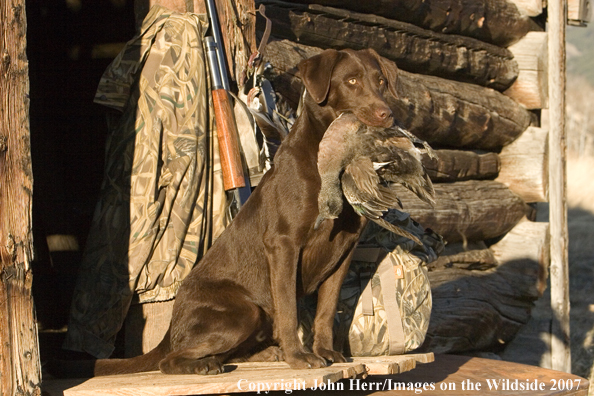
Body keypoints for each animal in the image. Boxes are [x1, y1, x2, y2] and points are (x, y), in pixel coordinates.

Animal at [61, 47, 398, 378]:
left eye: (381, 81)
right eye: (352, 81)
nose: (387, 113)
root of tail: (170, 328)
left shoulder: (343, 250)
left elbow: (326, 311)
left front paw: (326, 353)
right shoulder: (283, 243)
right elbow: (288, 308)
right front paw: (299, 357)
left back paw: (264, 354)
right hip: (244, 310)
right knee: (168, 360)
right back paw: (205, 365)